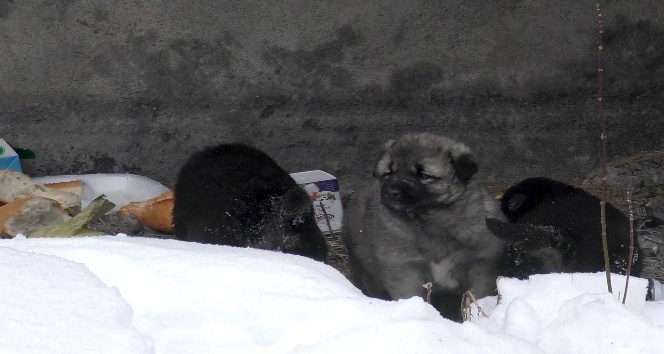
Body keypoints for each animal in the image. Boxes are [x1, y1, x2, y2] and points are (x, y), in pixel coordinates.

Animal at [344, 133, 506, 320]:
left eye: (423, 175)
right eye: (389, 172)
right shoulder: (404, 268)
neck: (430, 220)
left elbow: (479, 294)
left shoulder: (480, 263)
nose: (392, 191)